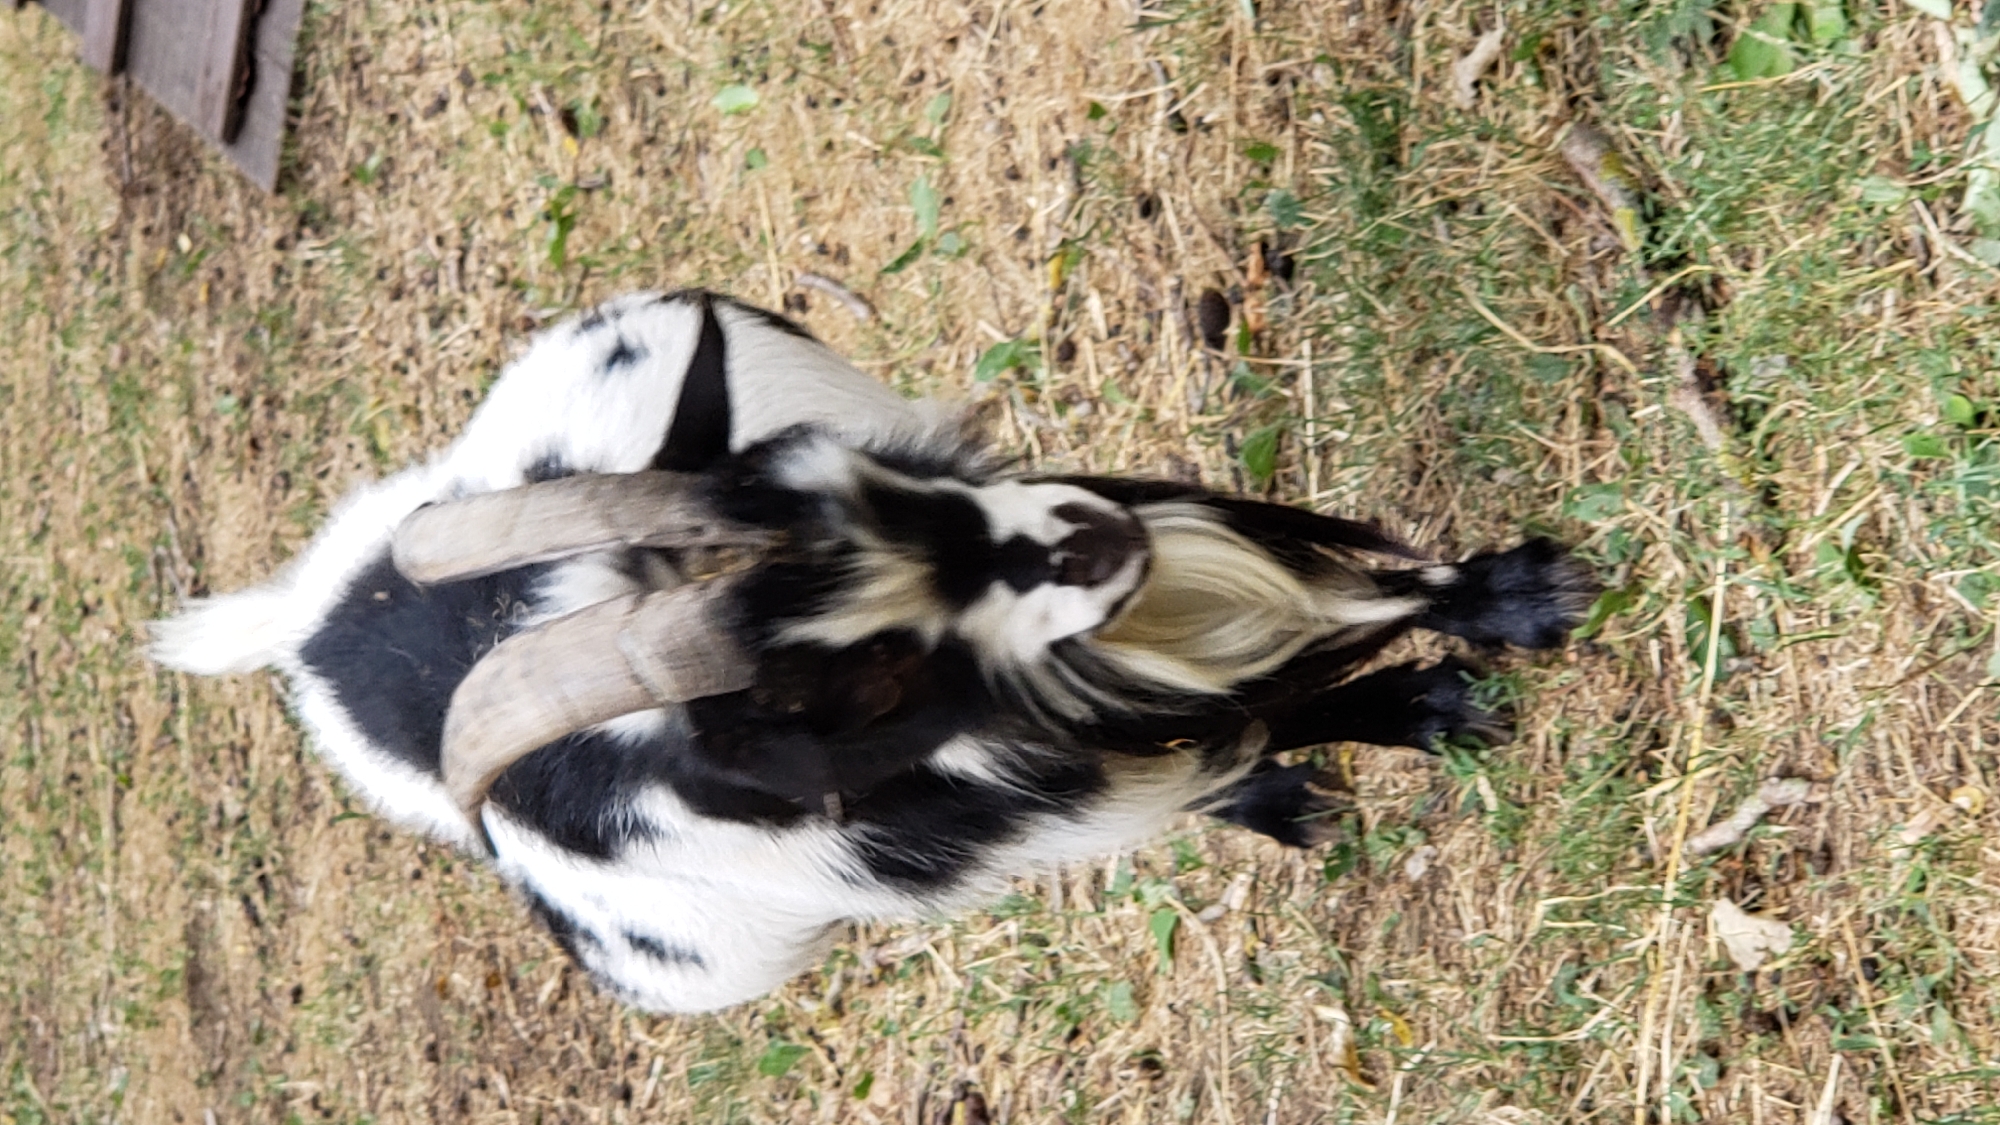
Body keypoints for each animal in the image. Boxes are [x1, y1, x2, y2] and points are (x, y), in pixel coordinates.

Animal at [152, 290, 1595, 1013]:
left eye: (881, 490)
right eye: (852, 695)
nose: (1091, 542)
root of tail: (316, 625)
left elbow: (1318, 608)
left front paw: (1506, 605)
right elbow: (1254, 715)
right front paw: (1377, 732)